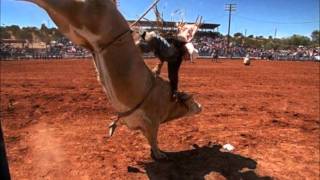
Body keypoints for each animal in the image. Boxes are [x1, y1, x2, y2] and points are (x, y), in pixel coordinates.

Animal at [23, 0, 201, 160]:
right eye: (192, 100)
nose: (201, 107)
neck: (167, 100)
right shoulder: (152, 121)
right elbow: (154, 140)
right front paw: (160, 154)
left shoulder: (142, 125)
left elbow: (149, 140)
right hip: (79, 12)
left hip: (72, 28)